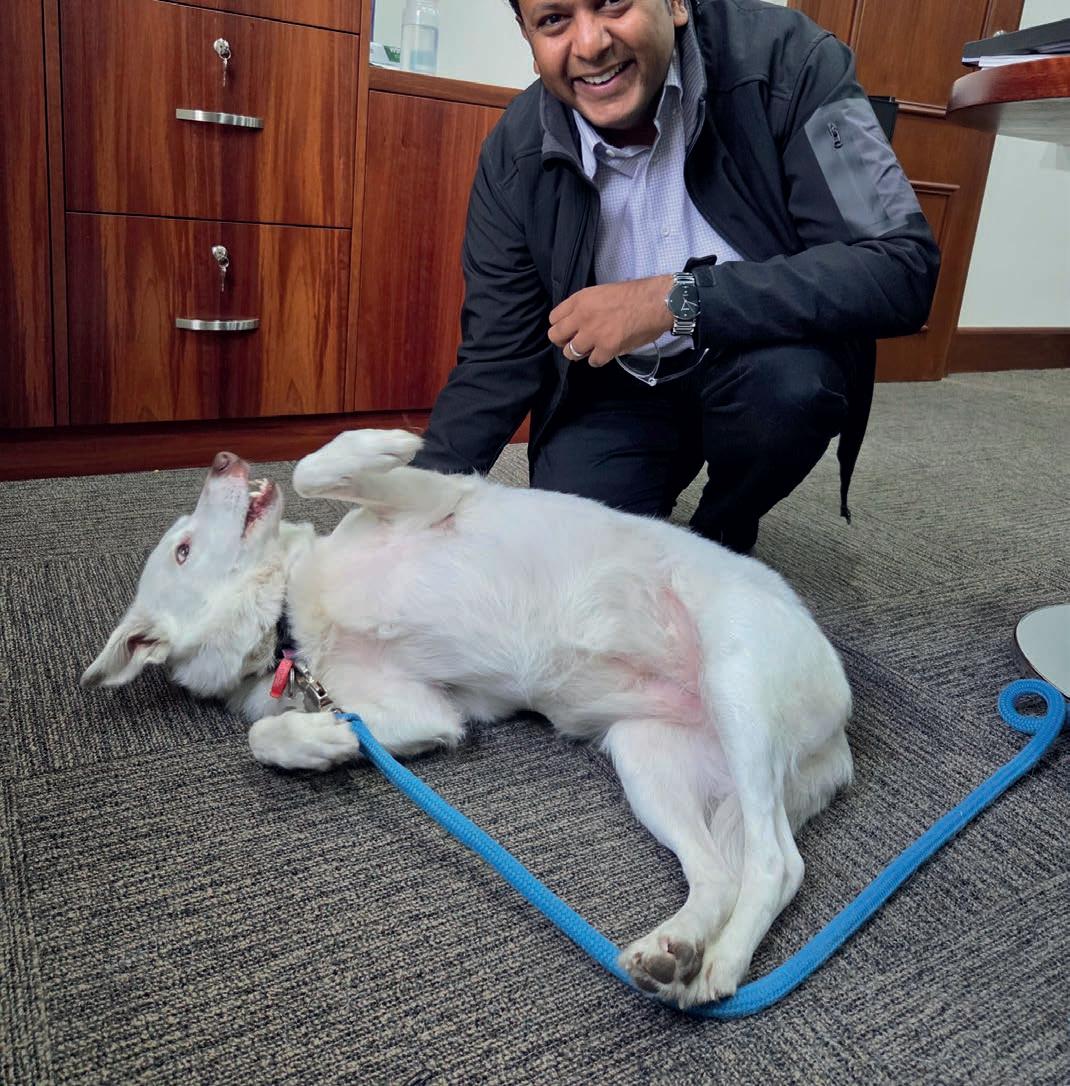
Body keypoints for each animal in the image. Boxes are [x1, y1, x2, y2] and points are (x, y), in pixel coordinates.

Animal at [82, 429, 852, 1008]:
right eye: (183, 548)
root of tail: (837, 739)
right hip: (649, 761)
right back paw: (677, 953)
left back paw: (721, 963)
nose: (222, 458)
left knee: (778, 864)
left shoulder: (435, 500)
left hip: (737, 677)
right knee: (724, 874)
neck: (292, 619)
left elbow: (315, 467)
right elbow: (266, 733)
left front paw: (388, 440)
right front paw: (324, 742)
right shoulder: (426, 710)